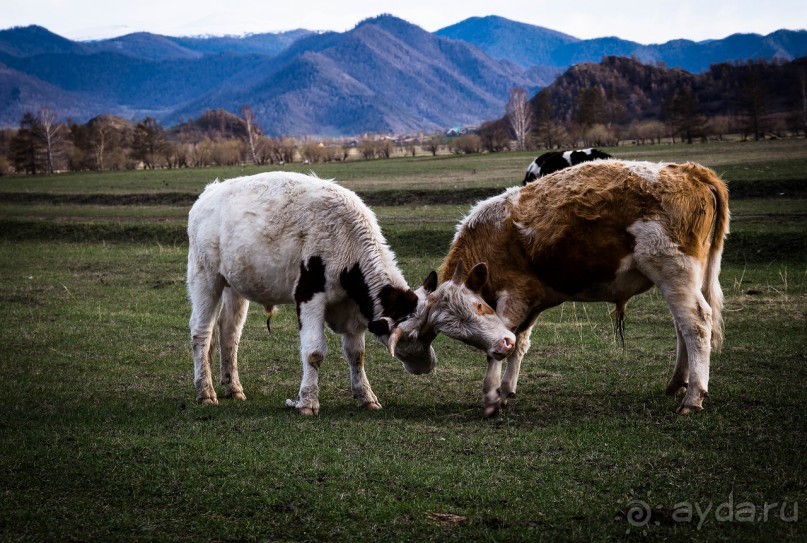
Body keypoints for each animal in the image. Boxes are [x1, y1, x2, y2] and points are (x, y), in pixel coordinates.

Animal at [404, 160, 732, 416]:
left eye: (479, 307)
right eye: (459, 334)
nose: (498, 344)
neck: (490, 235)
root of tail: (690, 171)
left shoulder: (514, 297)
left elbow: (504, 344)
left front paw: (491, 396)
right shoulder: (531, 301)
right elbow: (519, 343)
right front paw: (507, 389)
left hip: (673, 272)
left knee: (696, 324)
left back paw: (693, 396)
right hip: (683, 281)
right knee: (682, 327)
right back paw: (678, 383)